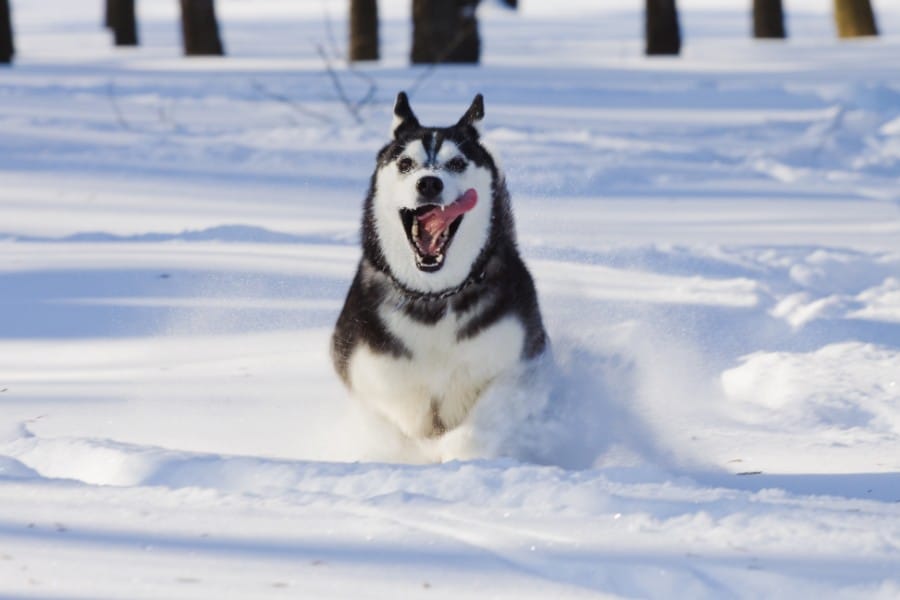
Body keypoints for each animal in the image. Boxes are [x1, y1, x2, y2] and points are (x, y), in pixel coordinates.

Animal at [328, 92, 544, 450]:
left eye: (457, 163)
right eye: (405, 164)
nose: (429, 182)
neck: (434, 297)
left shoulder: (515, 360)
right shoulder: (371, 367)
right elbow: (405, 411)